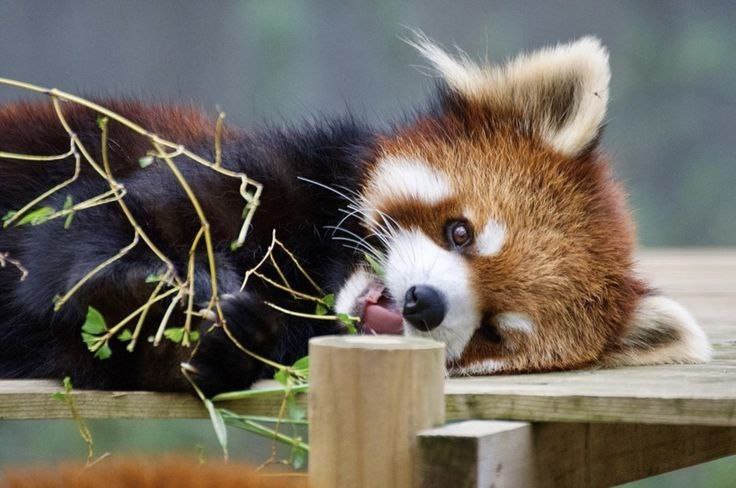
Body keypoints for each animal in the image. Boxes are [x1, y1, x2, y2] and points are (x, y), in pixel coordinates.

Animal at [0, 35, 712, 396]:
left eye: (496, 331)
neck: (314, 275)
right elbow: (94, 233)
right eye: (460, 231)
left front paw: (214, 338)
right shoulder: (247, 173)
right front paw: (167, 291)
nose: (424, 302)